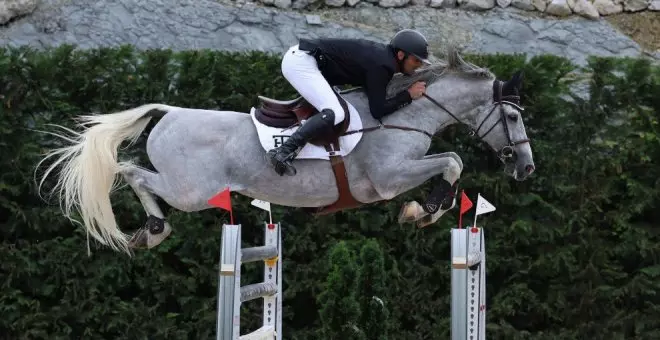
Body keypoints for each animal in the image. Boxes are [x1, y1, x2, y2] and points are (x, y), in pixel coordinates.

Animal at [36, 47, 536, 255]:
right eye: (513, 119)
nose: (527, 169)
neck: (407, 113)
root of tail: (170, 111)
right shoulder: (387, 179)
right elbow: (452, 162)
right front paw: (423, 211)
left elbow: (452, 164)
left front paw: (427, 210)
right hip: (191, 191)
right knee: (131, 171)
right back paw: (154, 230)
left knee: (131, 170)